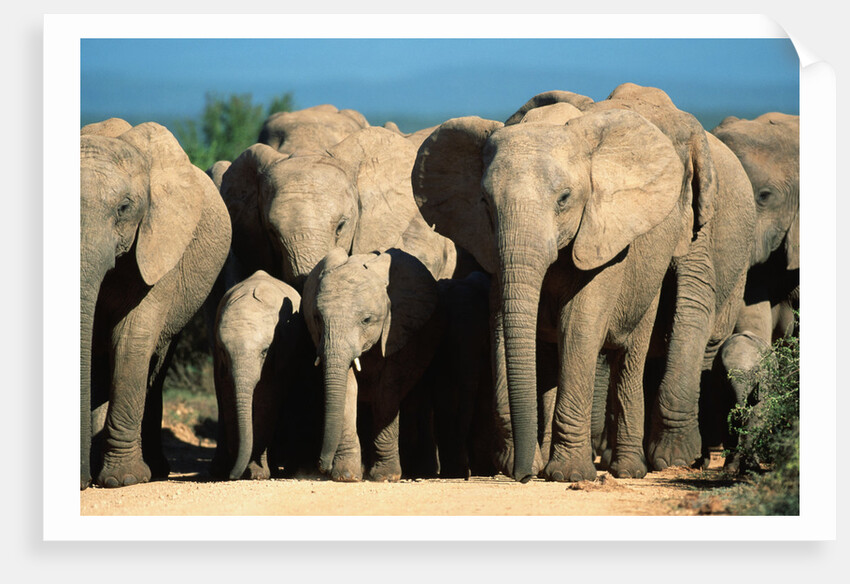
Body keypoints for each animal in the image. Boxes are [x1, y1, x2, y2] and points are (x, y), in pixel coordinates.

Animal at [80, 118, 231, 489]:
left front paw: (123, 479)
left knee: (155, 364)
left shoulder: (163, 243)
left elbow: (132, 340)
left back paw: (155, 470)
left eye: (124, 208)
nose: (82, 481)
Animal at [211, 270, 321, 480]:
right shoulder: (219, 361)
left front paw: (257, 473)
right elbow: (228, 397)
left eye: (264, 352)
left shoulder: (281, 351)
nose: (233, 475)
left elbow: (266, 400)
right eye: (224, 352)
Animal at [301, 248, 446, 482]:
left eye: (366, 320)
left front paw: (387, 477)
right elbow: (349, 387)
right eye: (317, 318)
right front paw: (347, 475)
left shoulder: (400, 327)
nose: (321, 466)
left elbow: (387, 390)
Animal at [413, 106, 695, 483]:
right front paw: (521, 465)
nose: (521, 475)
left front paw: (569, 476)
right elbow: (500, 327)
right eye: (485, 202)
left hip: (651, 277)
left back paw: (627, 470)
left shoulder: (602, 242)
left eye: (564, 199)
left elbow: (578, 328)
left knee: (629, 356)